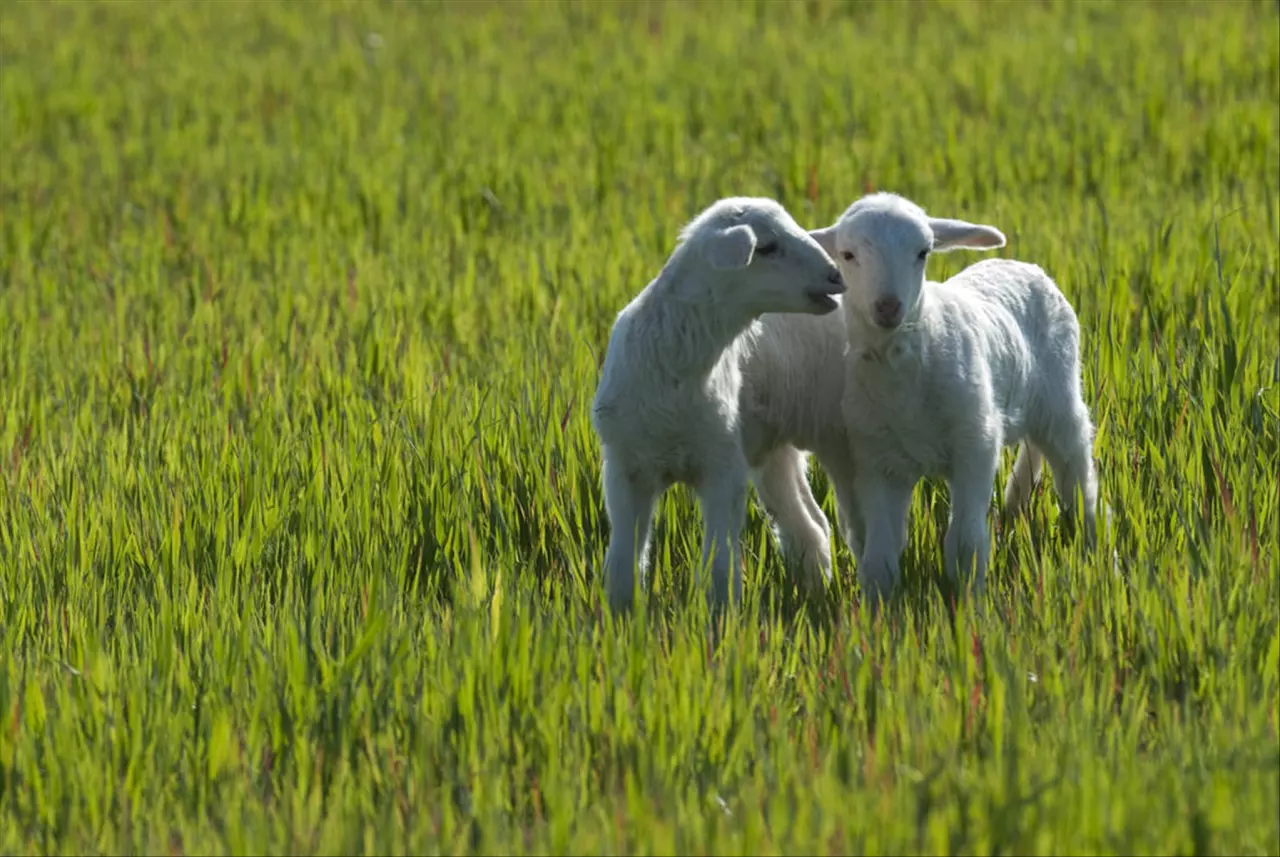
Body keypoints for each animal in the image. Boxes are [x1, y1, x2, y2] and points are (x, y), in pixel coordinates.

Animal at [588, 198, 849, 613]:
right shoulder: (625, 468)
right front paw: (620, 612)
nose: (836, 276)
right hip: (772, 449)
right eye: (767, 247)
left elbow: (719, 559)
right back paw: (815, 588)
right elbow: (623, 557)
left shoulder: (723, 467)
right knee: (809, 524)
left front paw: (720, 614)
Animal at [808, 194, 1100, 603]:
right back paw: (1017, 499)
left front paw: (970, 605)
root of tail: (1021, 264)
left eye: (923, 252)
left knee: (1077, 479)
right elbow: (881, 556)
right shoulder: (878, 463)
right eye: (847, 255)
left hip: (1060, 399)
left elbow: (964, 545)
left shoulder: (974, 445)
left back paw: (1095, 545)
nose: (888, 307)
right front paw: (877, 612)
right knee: (1034, 449)